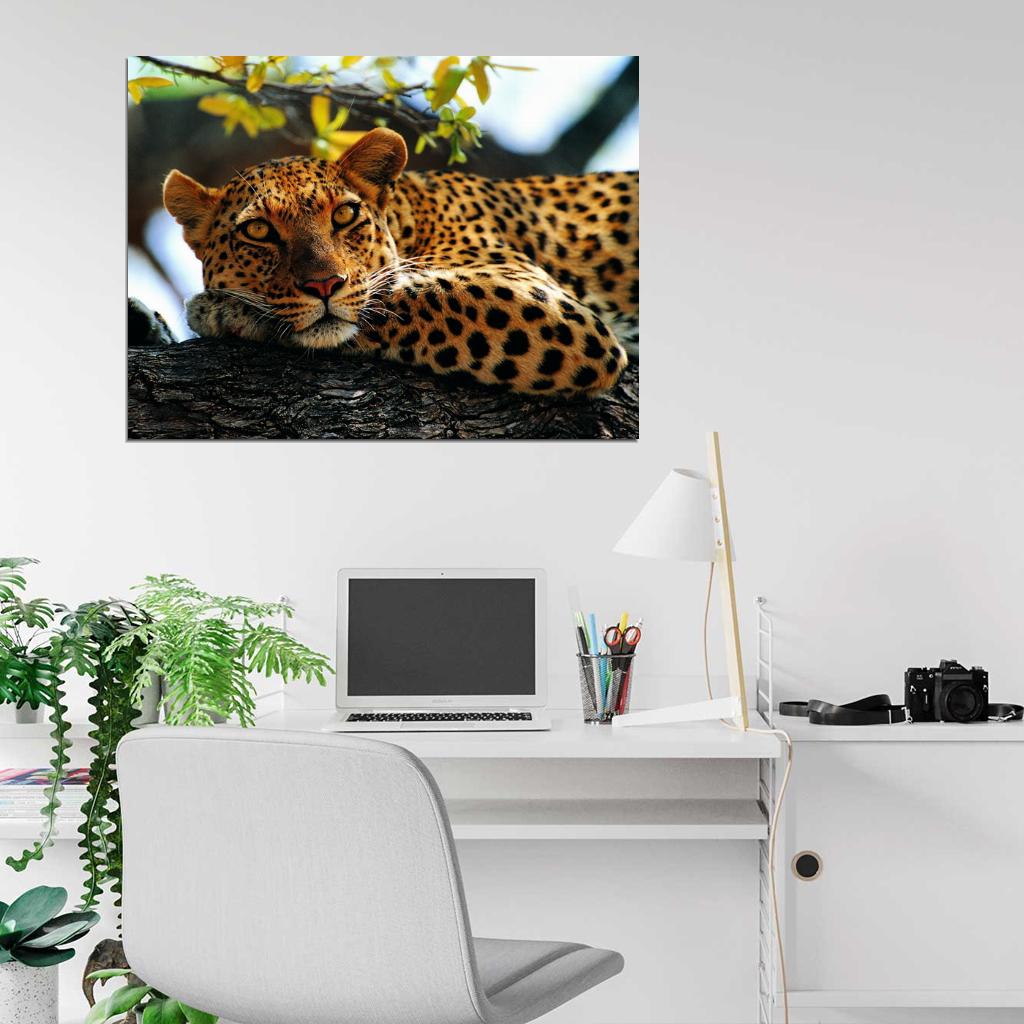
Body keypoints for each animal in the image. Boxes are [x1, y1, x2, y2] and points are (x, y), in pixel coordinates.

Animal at [163, 127, 638, 397]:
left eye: (344, 215)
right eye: (259, 231)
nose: (323, 286)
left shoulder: (550, 305)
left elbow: (401, 297)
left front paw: (223, 309)